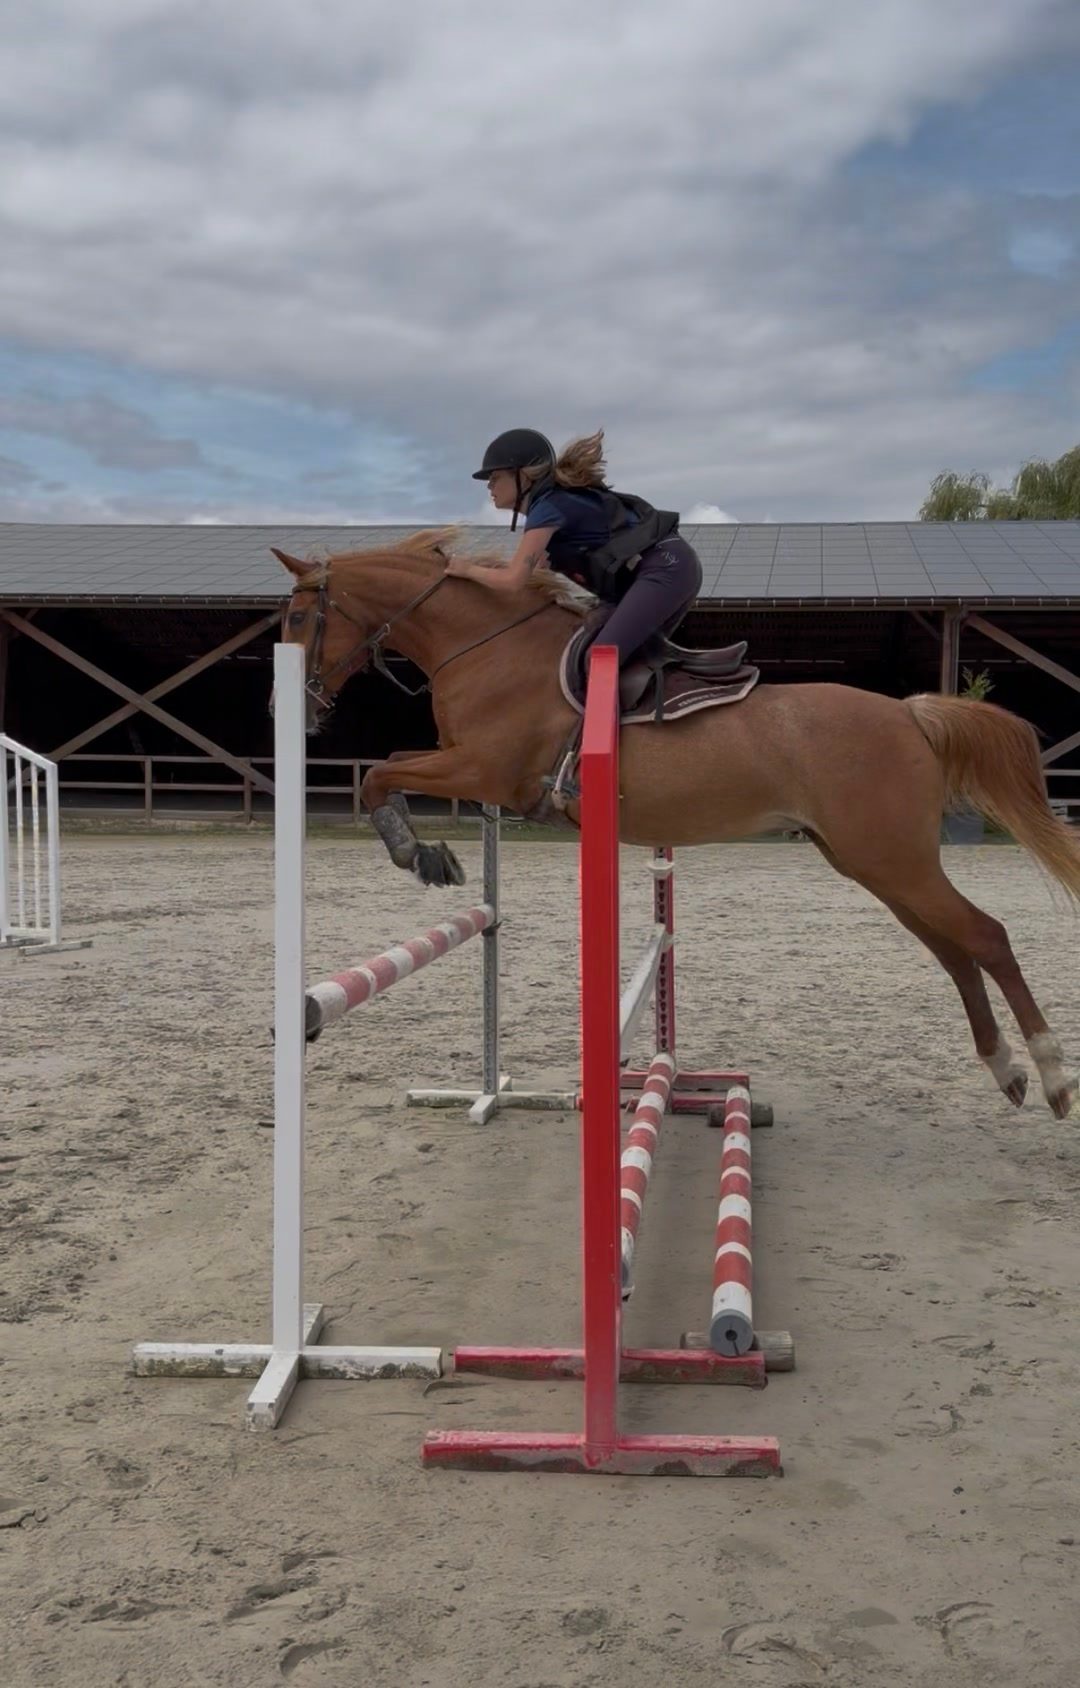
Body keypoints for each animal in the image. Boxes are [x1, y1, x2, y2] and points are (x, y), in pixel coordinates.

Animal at [273, 530, 1080, 1120]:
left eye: (295, 618)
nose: (296, 709)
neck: (488, 645)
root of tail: (910, 712)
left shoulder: (484, 771)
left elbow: (379, 773)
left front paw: (417, 852)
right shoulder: (467, 769)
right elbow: (388, 767)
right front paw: (428, 852)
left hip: (893, 860)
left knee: (985, 937)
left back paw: (1049, 1075)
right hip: (871, 864)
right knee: (953, 952)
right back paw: (1005, 1070)